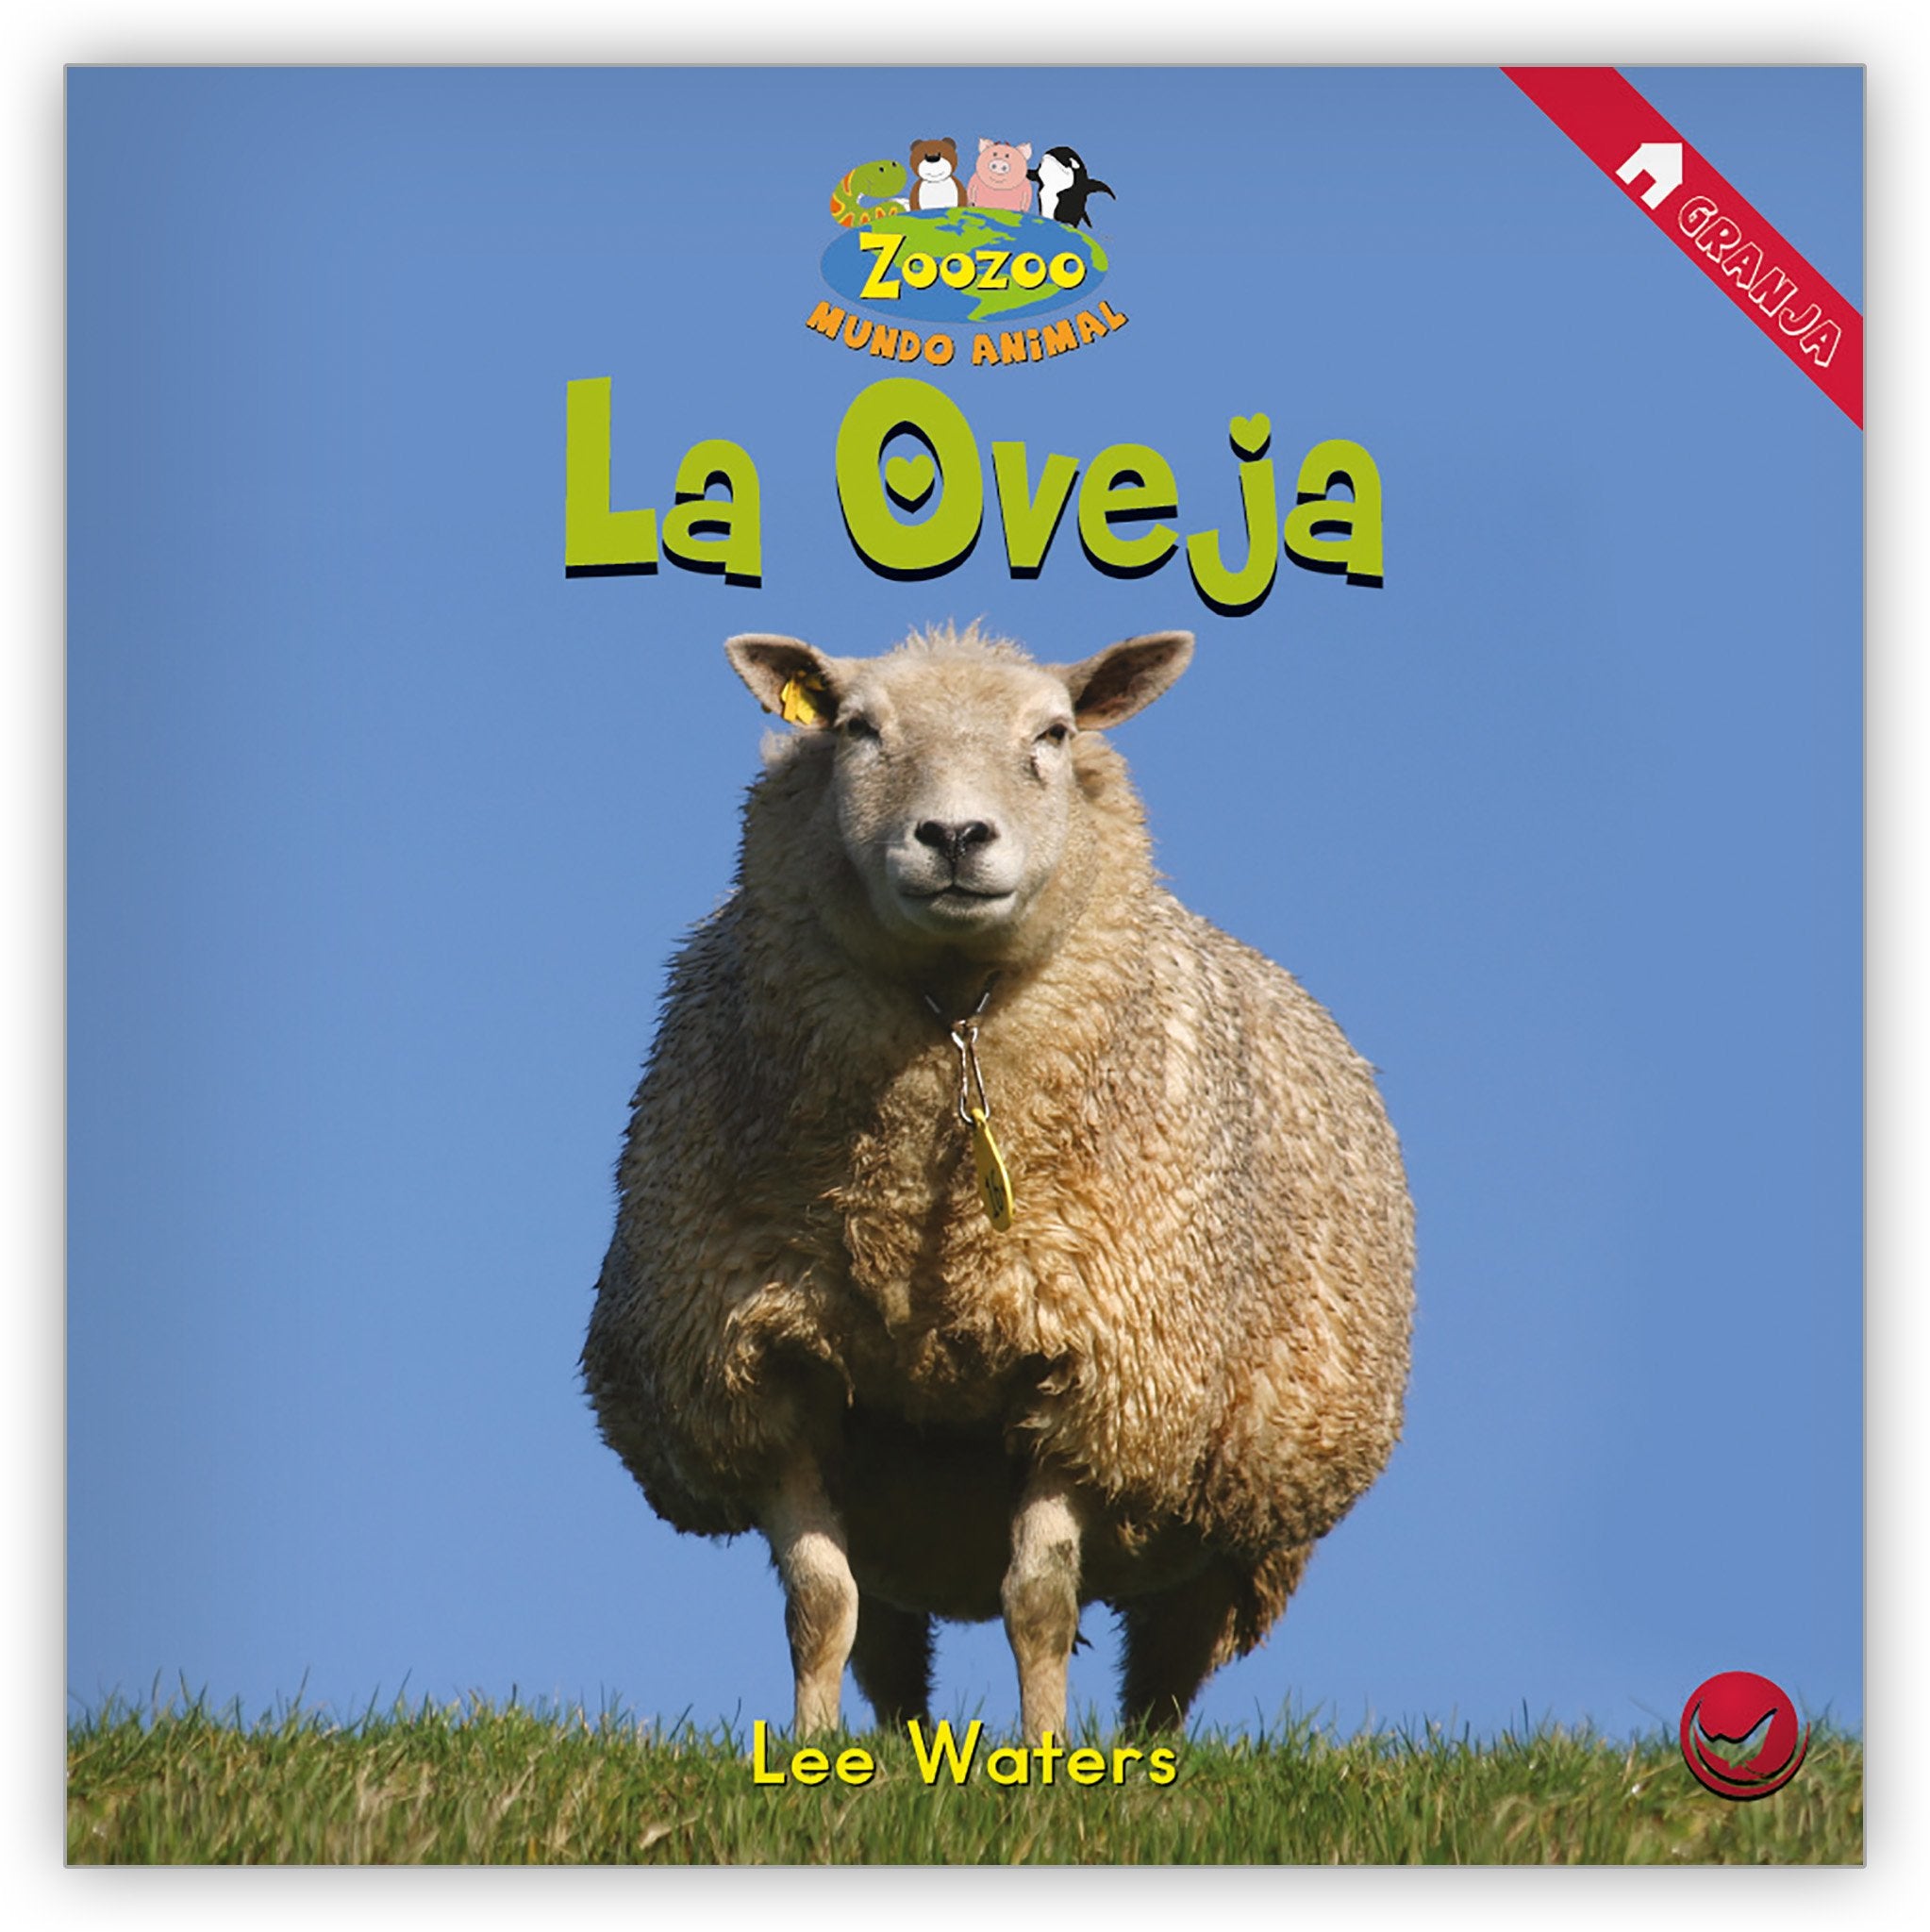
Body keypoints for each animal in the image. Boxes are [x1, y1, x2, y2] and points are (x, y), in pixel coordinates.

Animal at [581, 622, 1414, 1742]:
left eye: (1054, 733)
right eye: (855, 727)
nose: (954, 837)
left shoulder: (1091, 1369)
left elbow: (1040, 1600)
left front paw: (1046, 1752)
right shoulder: (765, 1366)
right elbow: (819, 1602)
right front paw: (806, 1752)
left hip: (1231, 1510)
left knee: (1166, 1671)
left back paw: (1139, 1753)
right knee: (889, 1644)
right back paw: (898, 1748)